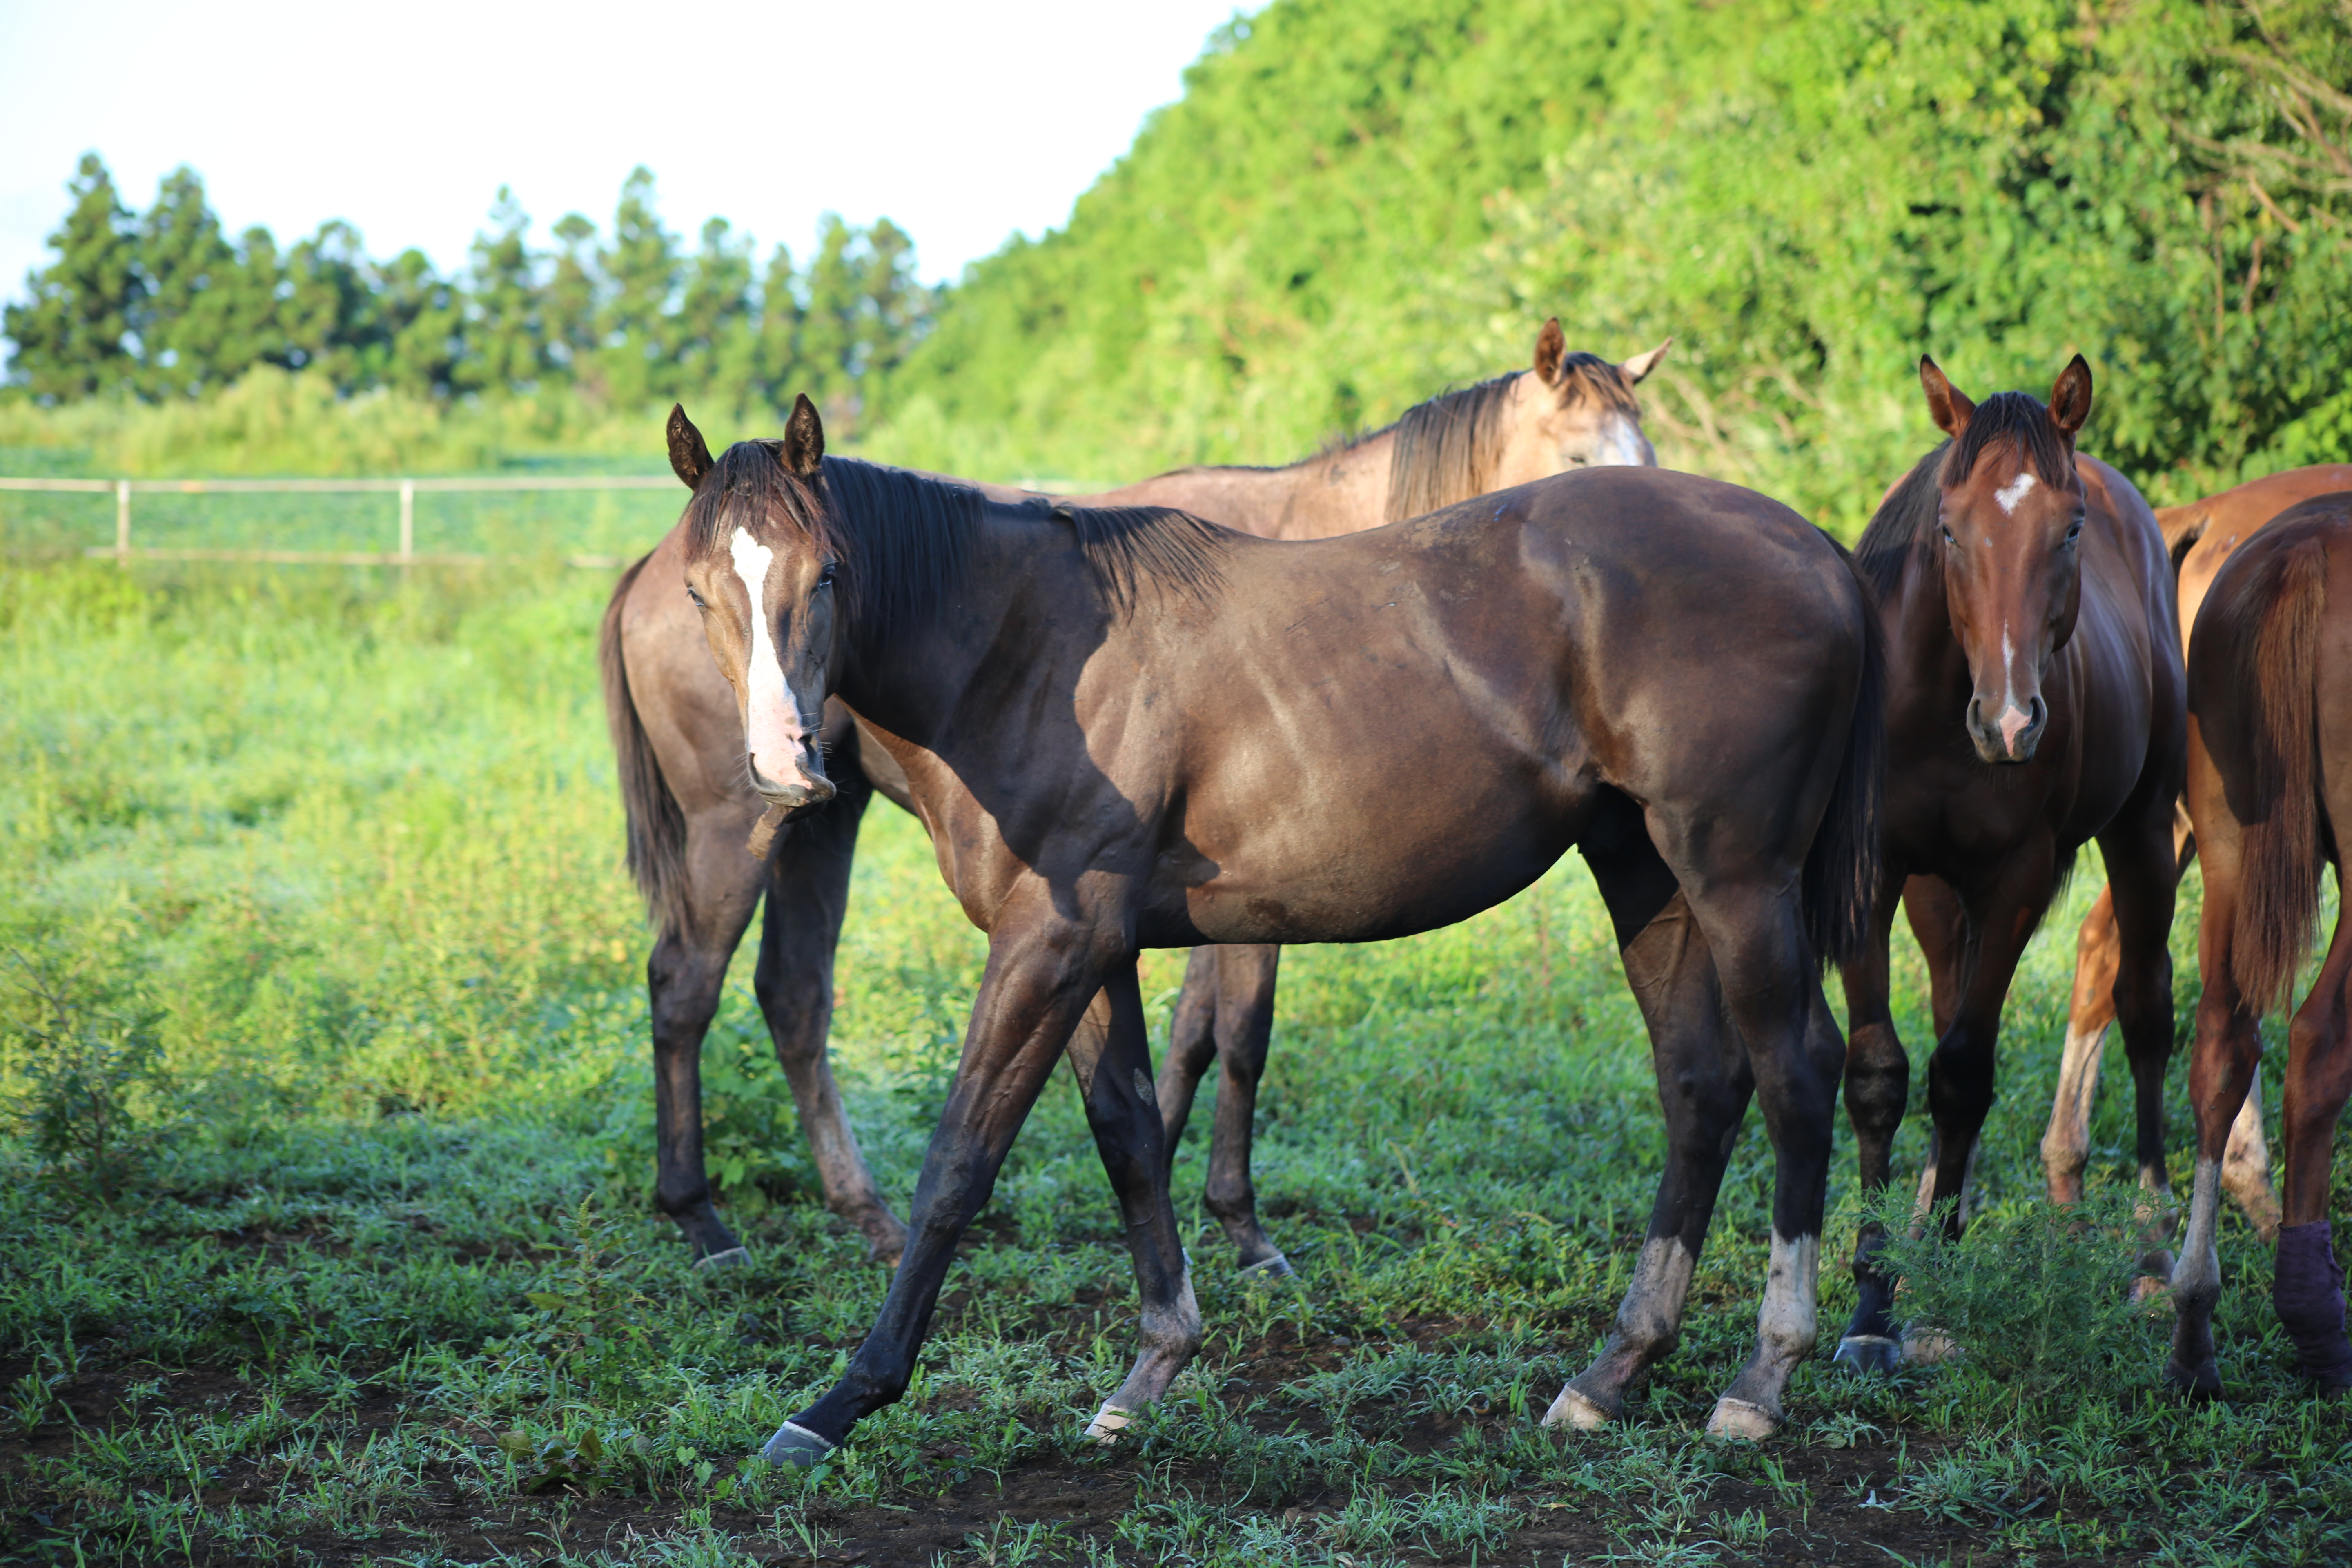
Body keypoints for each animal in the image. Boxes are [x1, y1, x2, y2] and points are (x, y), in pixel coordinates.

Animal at [607, 324, 1675, 1269]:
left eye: (1644, 446)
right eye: (1579, 449)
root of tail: (644, 569)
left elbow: (1196, 1035)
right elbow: (1239, 1036)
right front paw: (1239, 1227)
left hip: (818, 815)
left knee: (793, 997)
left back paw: (865, 1214)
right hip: (734, 826)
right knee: (685, 987)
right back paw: (700, 1218)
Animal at [654, 395, 1882, 1457]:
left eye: (825, 574)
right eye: (702, 592)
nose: (783, 764)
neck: (1026, 650)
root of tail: (1812, 546)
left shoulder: (1048, 944)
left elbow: (960, 1159)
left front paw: (840, 1402)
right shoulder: (1088, 945)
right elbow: (1128, 1133)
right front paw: (1151, 1369)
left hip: (1736, 876)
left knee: (1795, 1077)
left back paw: (1761, 1377)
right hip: (1644, 872)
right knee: (1700, 1086)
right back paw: (1613, 1370)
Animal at [1834, 359, 2183, 1373]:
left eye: (2067, 530)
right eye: (1949, 528)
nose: (2012, 722)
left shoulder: (2018, 880)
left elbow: (1962, 1075)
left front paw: (1932, 1295)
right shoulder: (1877, 880)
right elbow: (1883, 1075)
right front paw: (1873, 1299)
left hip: (2145, 832)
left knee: (2144, 1014)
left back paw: (2153, 1257)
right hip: (1938, 896)